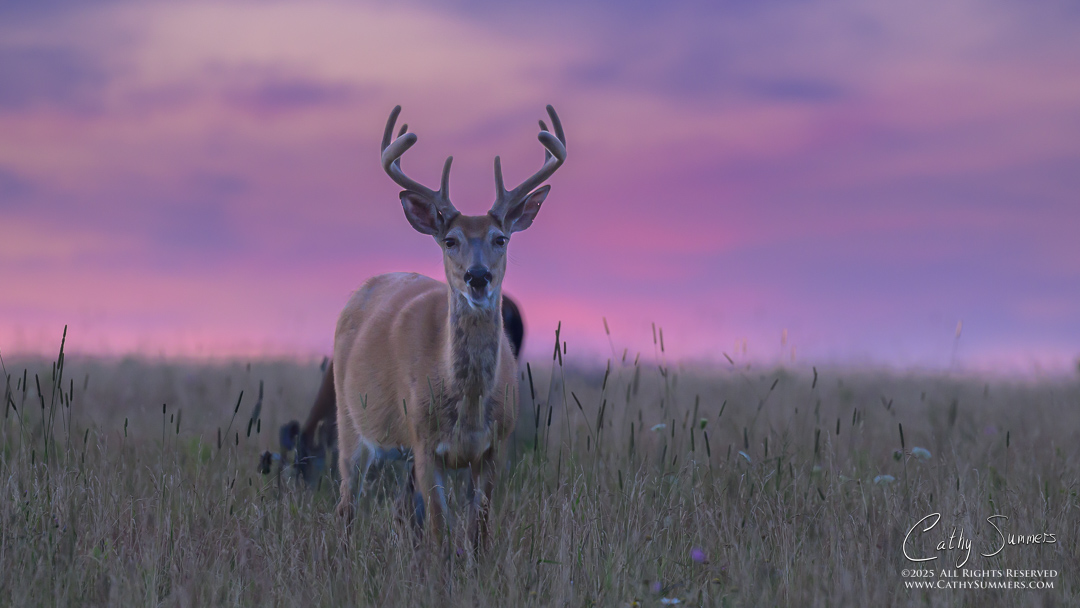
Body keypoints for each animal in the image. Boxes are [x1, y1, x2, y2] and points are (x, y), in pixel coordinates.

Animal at [333, 104, 565, 548]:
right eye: (450, 240)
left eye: (500, 238)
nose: (477, 277)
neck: (468, 404)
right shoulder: (424, 442)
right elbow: (441, 530)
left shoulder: (495, 447)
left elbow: (478, 531)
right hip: (348, 421)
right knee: (346, 505)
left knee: (399, 511)